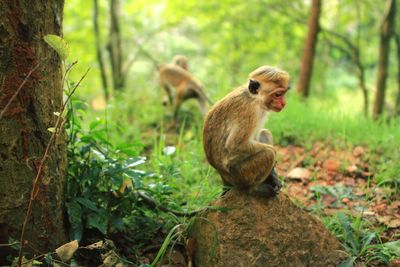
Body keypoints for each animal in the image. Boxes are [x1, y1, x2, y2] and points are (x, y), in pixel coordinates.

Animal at [202, 65, 290, 197]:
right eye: (278, 94)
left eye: (283, 93)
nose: (283, 103)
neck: (254, 98)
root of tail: (223, 176)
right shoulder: (248, 112)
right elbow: (235, 144)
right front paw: (274, 154)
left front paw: (273, 175)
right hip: (239, 175)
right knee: (267, 154)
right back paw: (253, 189)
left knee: (264, 133)